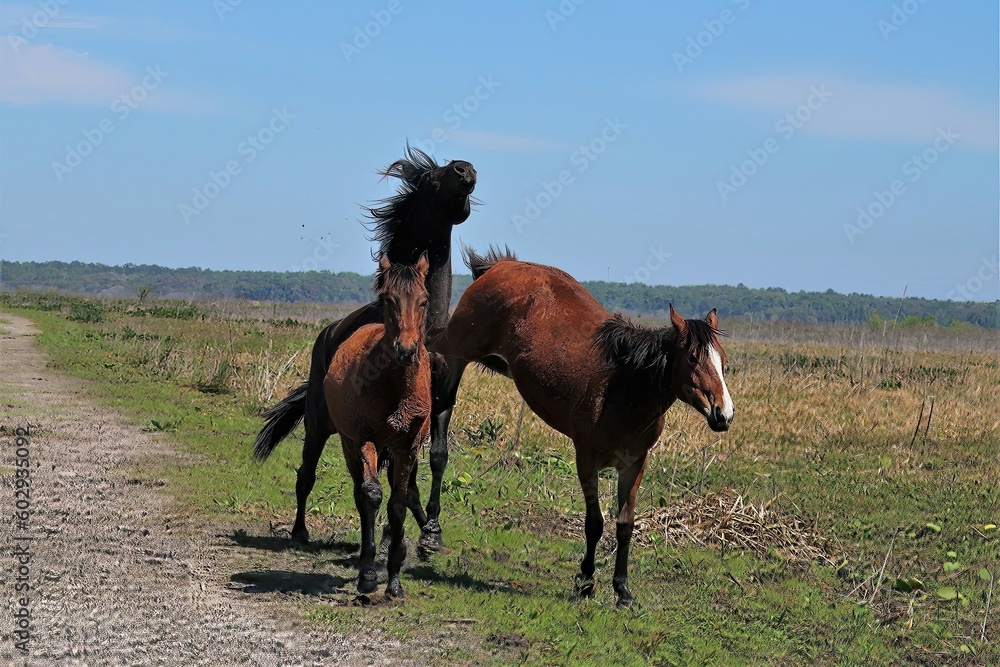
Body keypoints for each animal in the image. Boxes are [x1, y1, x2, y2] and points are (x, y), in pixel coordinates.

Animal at [254, 146, 476, 549]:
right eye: (431, 178)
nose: (465, 169)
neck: (430, 332)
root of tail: (326, 335)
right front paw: (405, 533)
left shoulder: (441, 402)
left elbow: (437, 459)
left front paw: (431, 530)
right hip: (318, 423)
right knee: (307, 473)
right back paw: (300, 532)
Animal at [321, 253, 432, 597]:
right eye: (387, 299)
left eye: (424, 300)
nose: (405, 350)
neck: (394, 387)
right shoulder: (364, 439)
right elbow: (371, 495)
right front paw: (368, 575)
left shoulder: (407, 447)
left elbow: (399, 504)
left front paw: (394, 579)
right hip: (349, 445)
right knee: (361, 494)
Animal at [427, 247, 734, 605]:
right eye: (692, 358)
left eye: (722, 360)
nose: (723, 413)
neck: (624, 386)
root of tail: (501, 266)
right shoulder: (586, 458)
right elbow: (595, 523)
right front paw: (586, 580)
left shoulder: (634, 464)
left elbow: (624, 525)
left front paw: (622, 590)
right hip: (455, 350)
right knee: (439, 409)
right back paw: (429, 526)